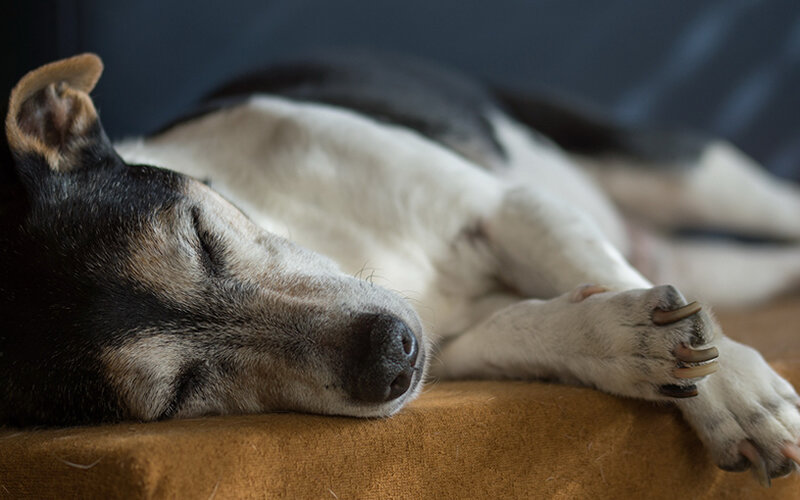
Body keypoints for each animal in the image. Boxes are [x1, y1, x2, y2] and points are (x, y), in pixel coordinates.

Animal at [1, 51, 800, 484]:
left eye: (201, 236)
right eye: (178, 394)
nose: (390, 355)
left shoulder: (509, 207)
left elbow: (616, 278)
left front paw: (731, 392)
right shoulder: (457, 347)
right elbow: (535, 328)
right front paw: (626, 343)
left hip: (684, 172)